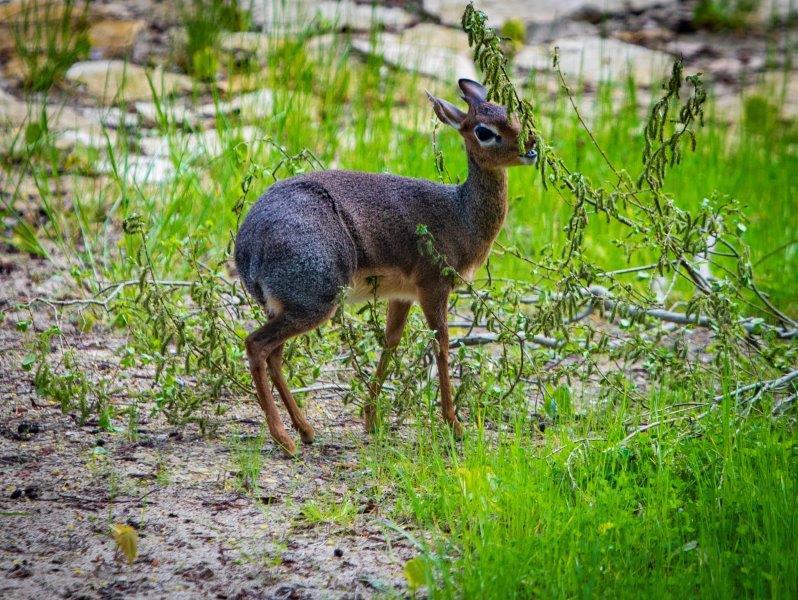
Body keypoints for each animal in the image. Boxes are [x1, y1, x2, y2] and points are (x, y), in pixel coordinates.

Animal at [234, 79, 540, 454]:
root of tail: (248, 245)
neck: (461, 215)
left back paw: (305, 430)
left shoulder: (403, 295)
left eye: (511, 112)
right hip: (313, 302)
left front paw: (371, 419)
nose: (531, 146)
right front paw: (455, 426)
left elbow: (390, 342)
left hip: (286, 306)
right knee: (256, 345)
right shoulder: (433, 286)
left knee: (273, 354)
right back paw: (285, 440)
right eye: (484, 131)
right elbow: (441, 344)